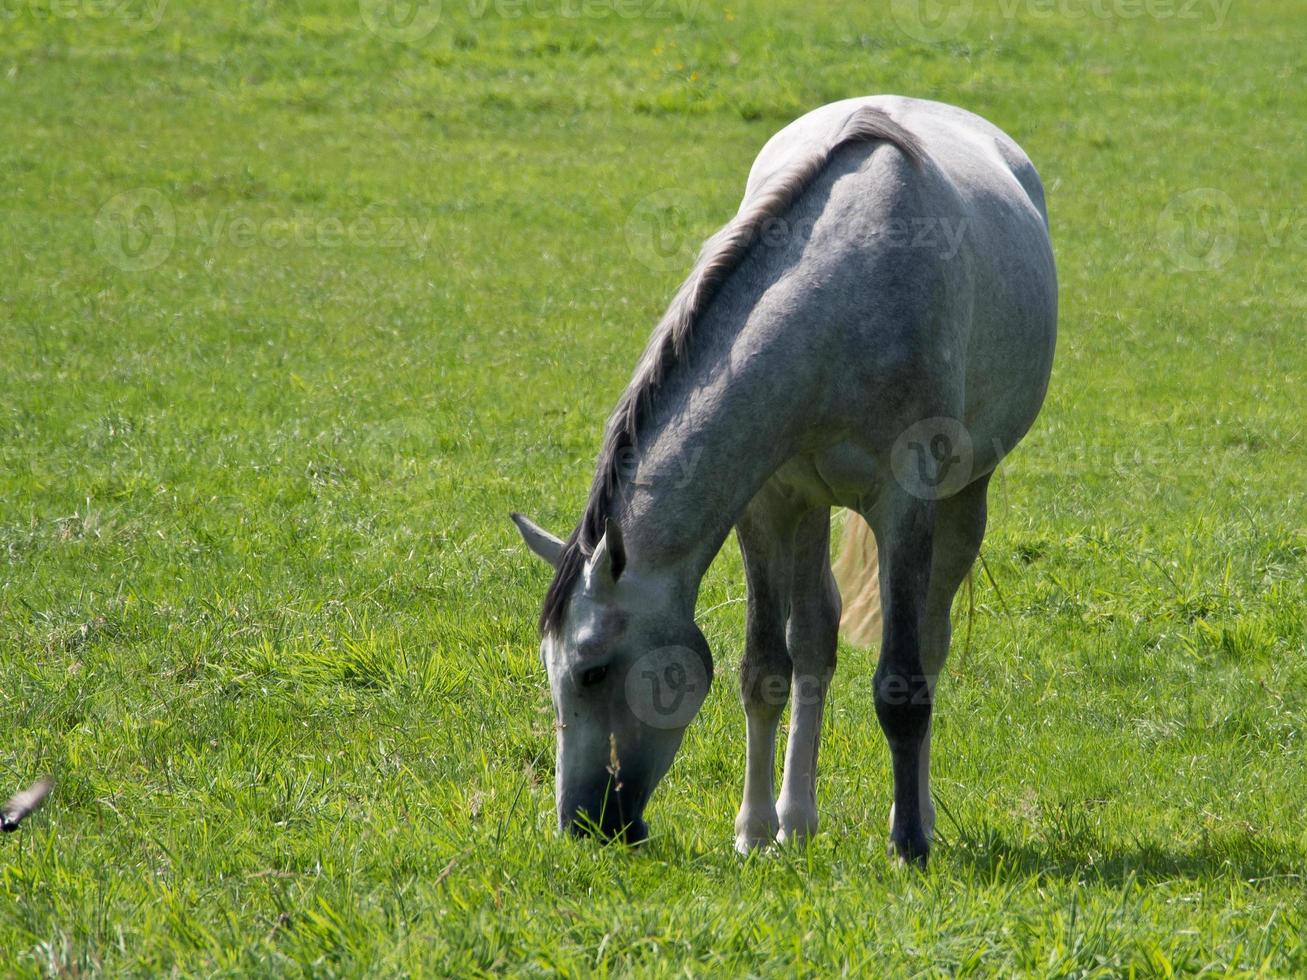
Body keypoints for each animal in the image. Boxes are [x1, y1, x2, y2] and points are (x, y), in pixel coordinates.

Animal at [504, 96, 1056, 867]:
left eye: (591, 671)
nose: (579, 823)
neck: (841, 302)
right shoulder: (768, 503)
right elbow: (765, 669)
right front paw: (754, 830)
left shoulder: (905, 503)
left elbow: (902, 684)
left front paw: (908, 843)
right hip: (812, 510)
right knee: (816, 641)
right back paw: (797, 820)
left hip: (962, 500)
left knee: (931, 642)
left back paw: (913, 813)